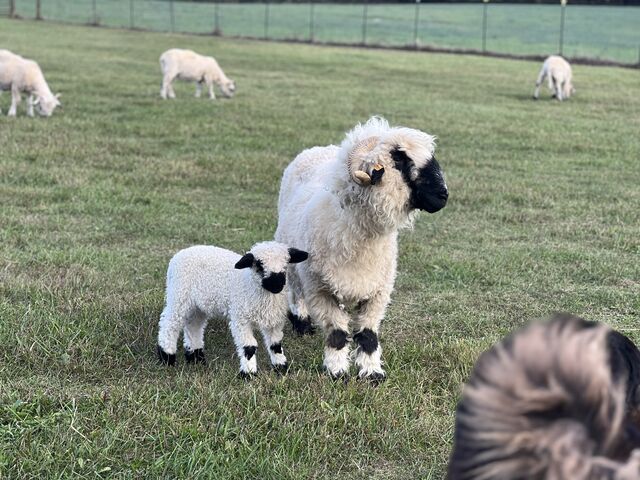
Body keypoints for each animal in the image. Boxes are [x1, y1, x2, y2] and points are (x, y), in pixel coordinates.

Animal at [157, 242, 308, 376]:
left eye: (286, 264)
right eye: (259, 265)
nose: (277, 284)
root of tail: (181, 253)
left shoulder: (274, 321)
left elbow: (275, 345)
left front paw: (281, 368)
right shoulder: (241, 319)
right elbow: (249, 347)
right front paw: (248, 374)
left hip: (198, 306)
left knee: (193, 326)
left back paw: (196, 357)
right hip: (179, 296)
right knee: (170, 325)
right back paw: (167, 357)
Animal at [276, 114, 450, 380]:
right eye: (399, 159)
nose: (443, 195)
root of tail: (317, 149)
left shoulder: (378, 291)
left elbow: (368, 335)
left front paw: (372, 372)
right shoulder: (320, 289)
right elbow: (337, 334)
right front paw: (337, 371)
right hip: (296, 261)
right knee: (296, 291)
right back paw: (302, 322)